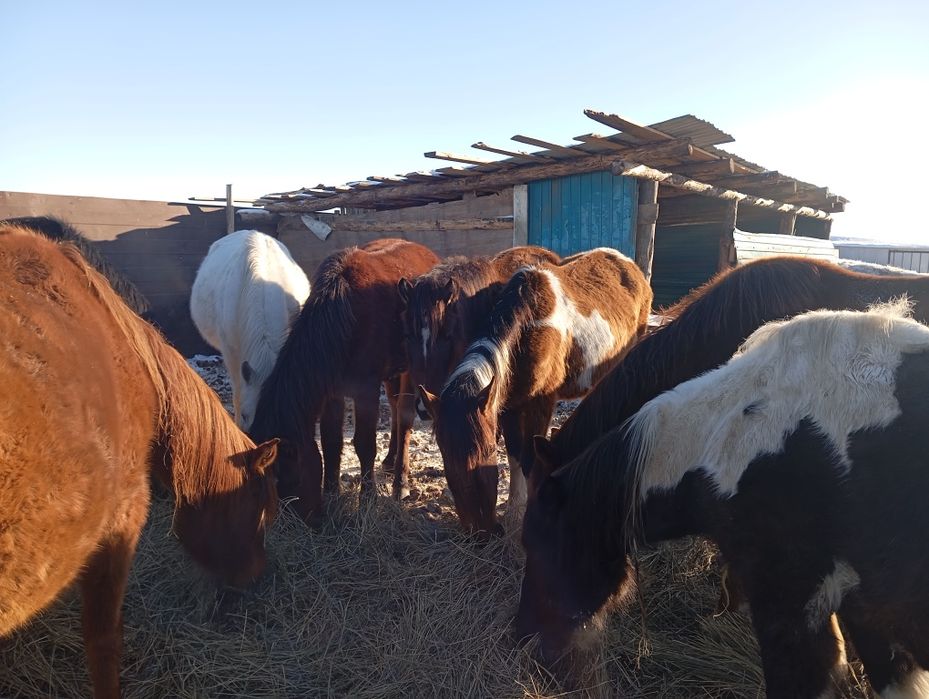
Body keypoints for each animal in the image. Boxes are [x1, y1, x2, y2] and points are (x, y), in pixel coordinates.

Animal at [249, 238, 439, 521]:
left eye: (291, 481)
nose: (307, 521)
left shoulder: (365, 390)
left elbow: (364, 444)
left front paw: (367, 499)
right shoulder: (332, 392)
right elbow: (331, 443)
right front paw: (332, 495)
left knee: (404, 416)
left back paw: (400, 483)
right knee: (395, 408)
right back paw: (390, 460)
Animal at [419, 248, 652, 535]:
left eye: (488, 450)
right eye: (445, 455)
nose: (481, 533)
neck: (529, 326)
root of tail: (629, 265)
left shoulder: (540, 404)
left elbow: (531, 460)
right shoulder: (507, 405)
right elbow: (515, 456)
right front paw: (513, 511)